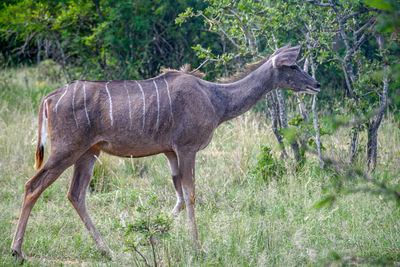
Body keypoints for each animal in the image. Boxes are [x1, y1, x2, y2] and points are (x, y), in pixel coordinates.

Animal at [10, 45, 322, 260]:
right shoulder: (186, 149)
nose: (316, 84)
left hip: (89, 152)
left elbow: (180, 198)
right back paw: (17, 251)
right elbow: (191, 195)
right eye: (293, 66)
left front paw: (151, 238)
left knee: (75, 194)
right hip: (66, 150)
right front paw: (198, 248)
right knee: (32, 186)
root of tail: (50, 97)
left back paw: (106, 250)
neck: (215, 99)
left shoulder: (171, 153)